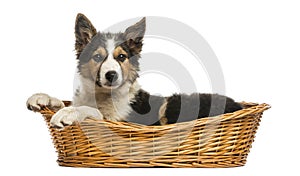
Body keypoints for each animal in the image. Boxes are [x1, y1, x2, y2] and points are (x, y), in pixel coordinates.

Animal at [25, 13, 243, 129]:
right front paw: (42, 98)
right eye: (97, 57)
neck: (102, 94)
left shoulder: (122, 120)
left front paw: (67, 114)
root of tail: (238, 105)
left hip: (171, 104)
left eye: (121, 57)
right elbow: (64, 102)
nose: (111, 75)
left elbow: (92, 111)